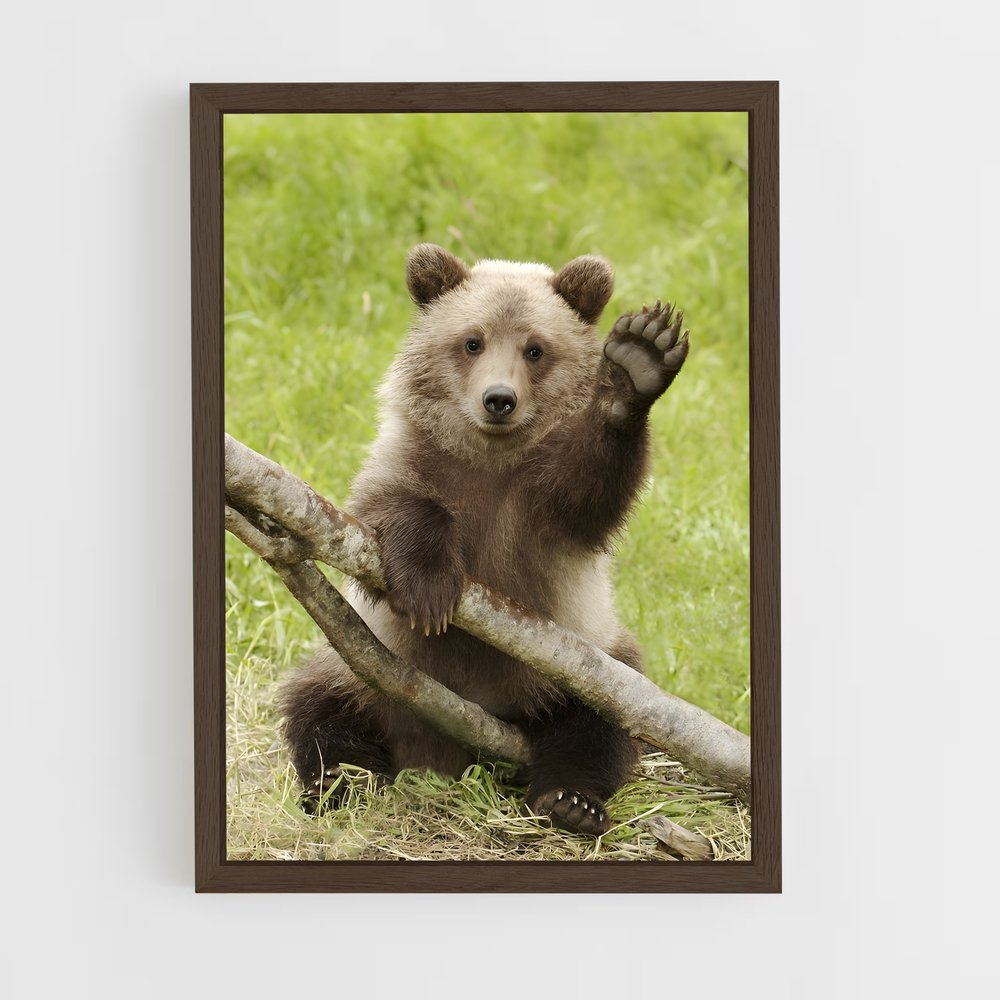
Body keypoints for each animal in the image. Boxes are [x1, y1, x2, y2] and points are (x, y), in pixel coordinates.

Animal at [279, 243, 689, 836]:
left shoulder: (540, 505)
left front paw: (636, 362)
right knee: (320, 709)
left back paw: (570, 801)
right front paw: (429, 590)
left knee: (600, 721)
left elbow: (590, 492)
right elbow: (388, 516)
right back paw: (339, 785)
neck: (490, 459)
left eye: (535, 349)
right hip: (363, 671)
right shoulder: (413, 461)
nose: (499, 399)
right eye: (472, 341)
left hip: (579, 664)